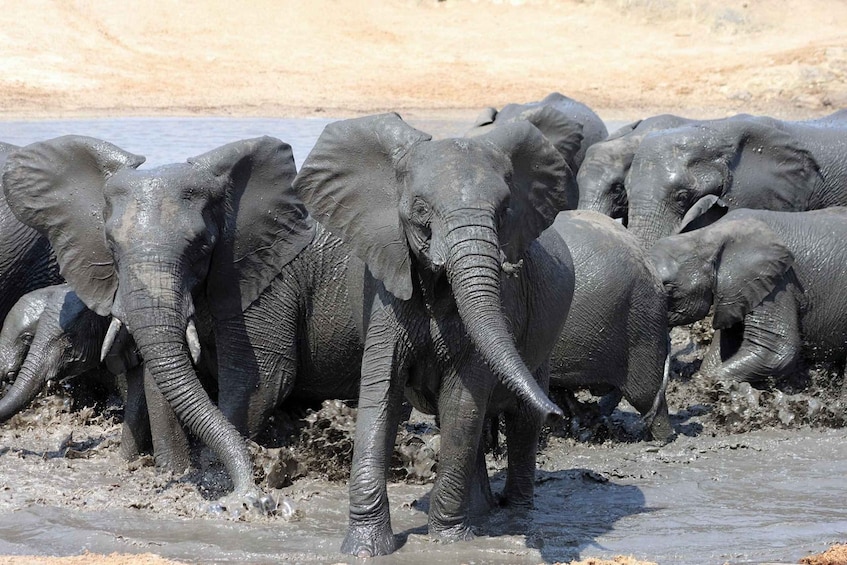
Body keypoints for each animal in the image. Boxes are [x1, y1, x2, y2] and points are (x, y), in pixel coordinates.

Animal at [2, 135, 363, 514]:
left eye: (202, 246)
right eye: (111, 246)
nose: (255, 498)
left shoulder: (267, 277)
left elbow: (260, 379)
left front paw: (212, 475)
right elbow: (161, 381)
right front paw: (178, 473)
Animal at [293, 113, 575, 556]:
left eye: (504, 210)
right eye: (422, 209)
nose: (560, 414)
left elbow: (462, 401)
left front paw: (449, 542)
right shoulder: (384, 290)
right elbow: (382, 391)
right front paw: (365, 549)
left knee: (521, 418)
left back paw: (511, 517)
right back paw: (482, 512)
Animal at [649, 207, 847, 384]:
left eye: (667, 287)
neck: (707, 235)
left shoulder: (777, 281)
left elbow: (775, 351)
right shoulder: (738, 290)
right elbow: (727, 343)